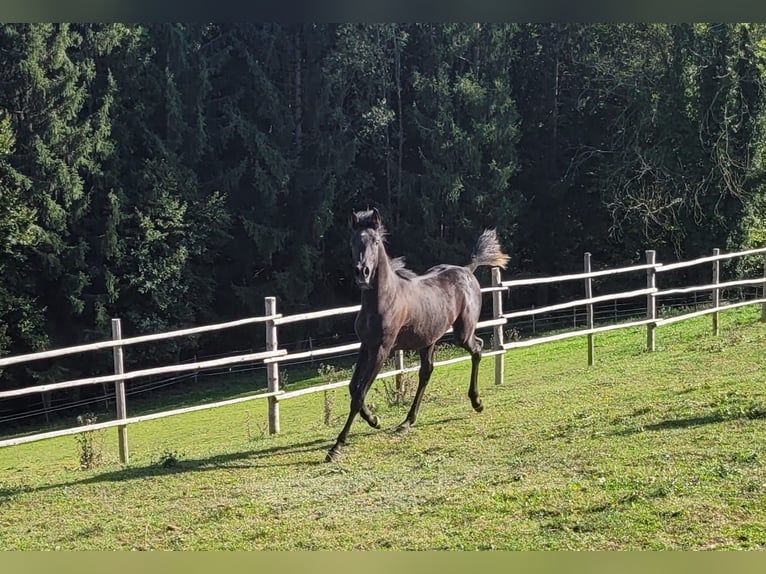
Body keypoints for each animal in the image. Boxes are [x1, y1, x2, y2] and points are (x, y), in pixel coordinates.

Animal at [326, 207, 510, 464]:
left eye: (375, 241)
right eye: (352, 242)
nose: (362, 272)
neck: (383, 299)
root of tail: (468, 269)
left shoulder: (382, 349)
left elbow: (359, 395)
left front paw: (337, 447)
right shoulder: (366, 345)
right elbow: (353, 388)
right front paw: (374, 421)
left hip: (462, 332)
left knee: (478, 348)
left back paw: (477, 402)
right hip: (429, 339)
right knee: (427, 372)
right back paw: (406, 422)